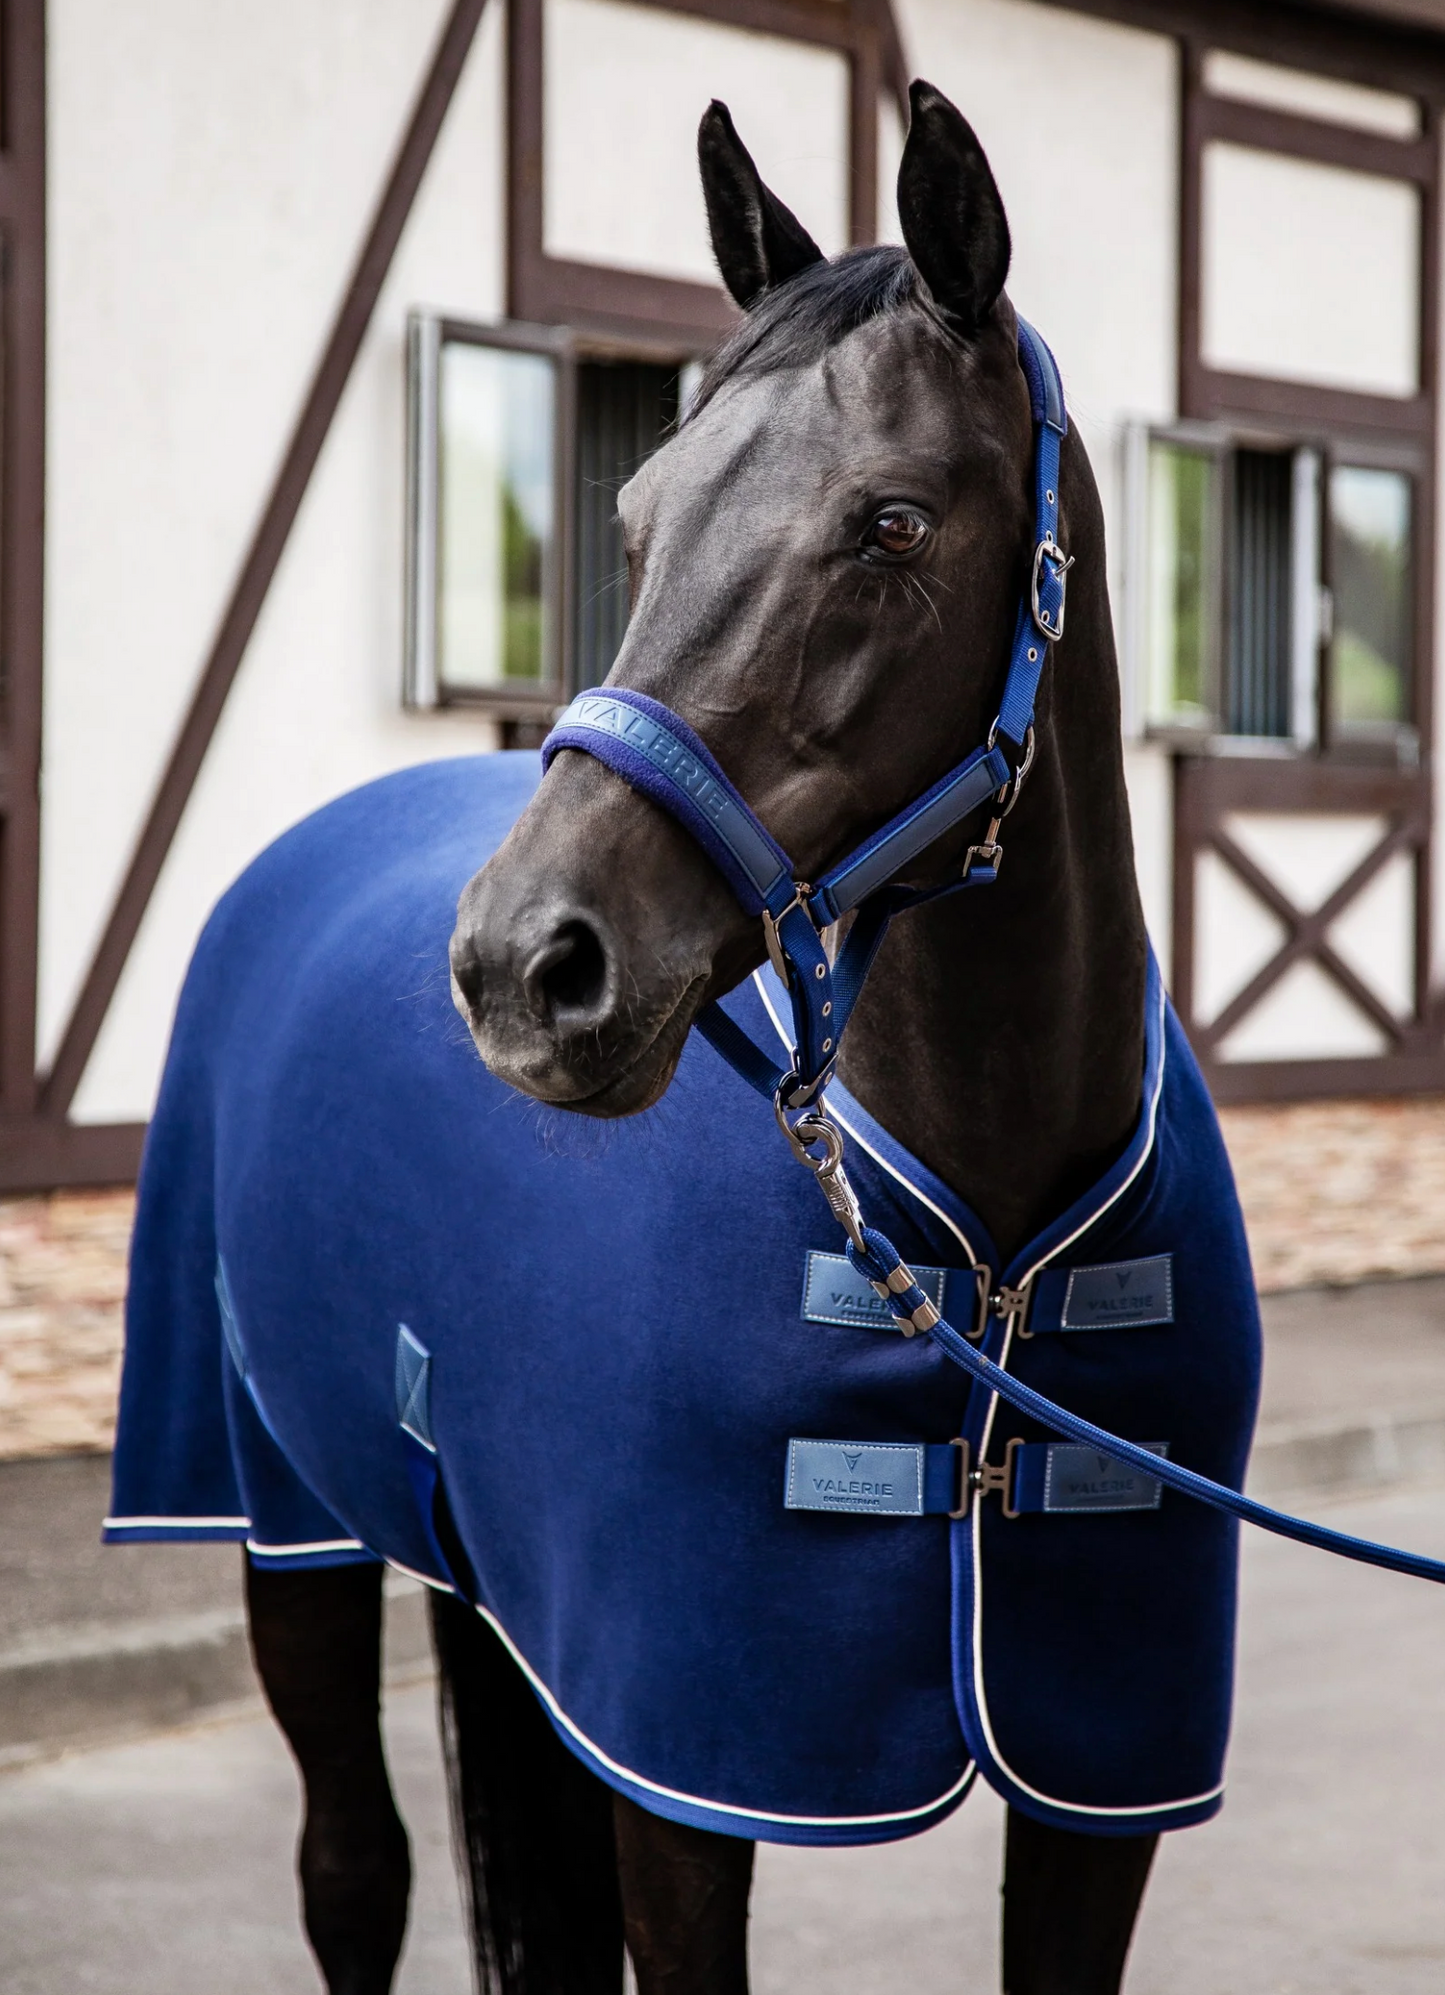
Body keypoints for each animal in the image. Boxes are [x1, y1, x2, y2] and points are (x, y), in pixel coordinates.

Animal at [105, 84, 1261, 1995]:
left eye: (889, 524)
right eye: (637, 519)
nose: (526, 965)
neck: (978, 1265)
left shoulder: (1098, 1781)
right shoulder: (692, 1761)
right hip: (278, 1511)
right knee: (351, 1871)